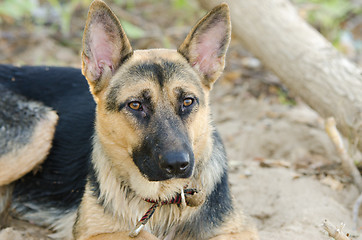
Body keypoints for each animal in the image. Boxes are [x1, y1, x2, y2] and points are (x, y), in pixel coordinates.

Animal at [1, 0, 258, 239]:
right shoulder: (94, 232)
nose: (177, 164)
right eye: (135, 105)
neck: (160, 199)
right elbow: (143, 235)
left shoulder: (240, 231)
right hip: (40, 127)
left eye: (187, 101)